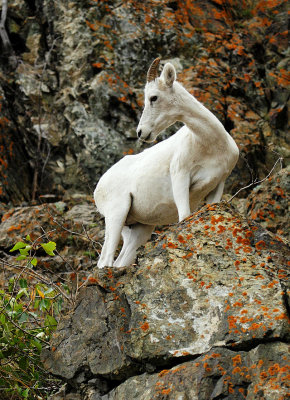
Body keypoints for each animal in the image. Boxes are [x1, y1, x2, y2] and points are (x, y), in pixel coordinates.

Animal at [94, 57, 239, 268]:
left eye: (153, 97)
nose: (141, 132)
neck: (210, 145)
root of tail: (98, 188)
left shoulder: (217, 185)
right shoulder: (180, 177)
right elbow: (184, 216)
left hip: (139, 229)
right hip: (117, 213)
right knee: (105, 260)